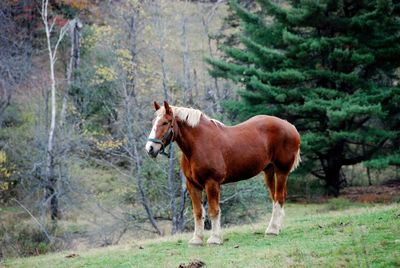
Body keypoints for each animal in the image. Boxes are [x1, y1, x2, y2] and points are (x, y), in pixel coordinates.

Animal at [146, 100, 300, 245]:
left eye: (165, 122)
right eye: (153, 122)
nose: (150, 148)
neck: (199, 144)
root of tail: (290, 126)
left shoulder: (212, 183)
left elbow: (214, 211)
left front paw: (214, 239)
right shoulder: (192, 185)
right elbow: (198, 212)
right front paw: (197, 240)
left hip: (281, 171)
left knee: (279, 197)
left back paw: (272, 230)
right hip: (269, 172)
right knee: (276, 198)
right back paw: (276, 228)